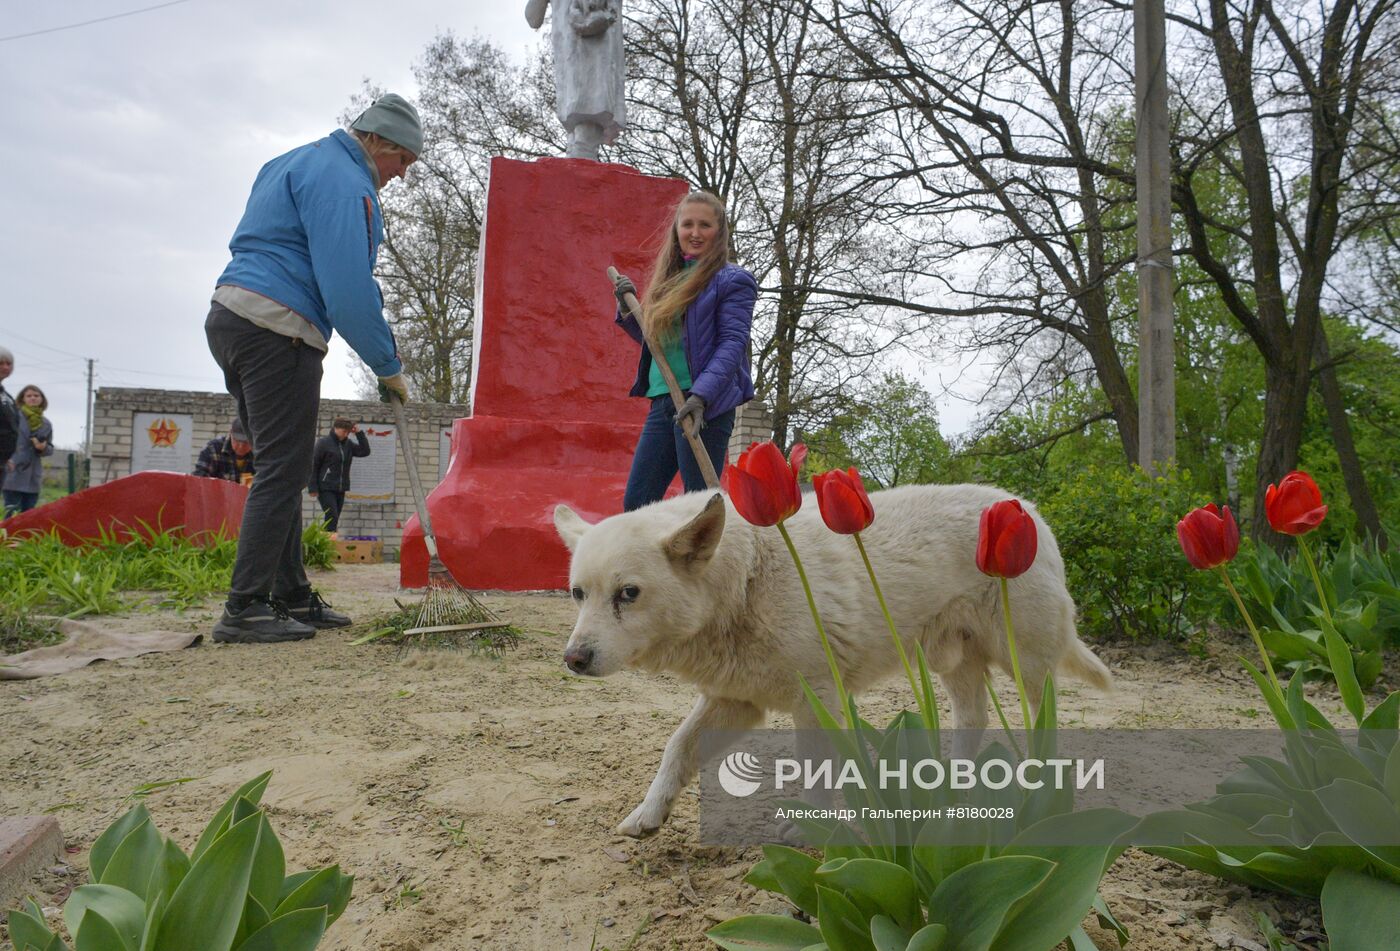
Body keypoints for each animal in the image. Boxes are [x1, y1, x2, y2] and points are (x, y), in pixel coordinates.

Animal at [551, 487, 1108, 834]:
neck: (746, 582)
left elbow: (813, 771)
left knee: (1040, 722)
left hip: (1024, 661)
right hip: (953, 663)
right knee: (974, 719)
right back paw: (949, 788)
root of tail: (1025, 509)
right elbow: (676, 749)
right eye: (578, 593)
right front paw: (648, 814)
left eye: (628, 593)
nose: (573, 659)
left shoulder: (815, 701)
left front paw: (808, 829)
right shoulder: (733, 701)